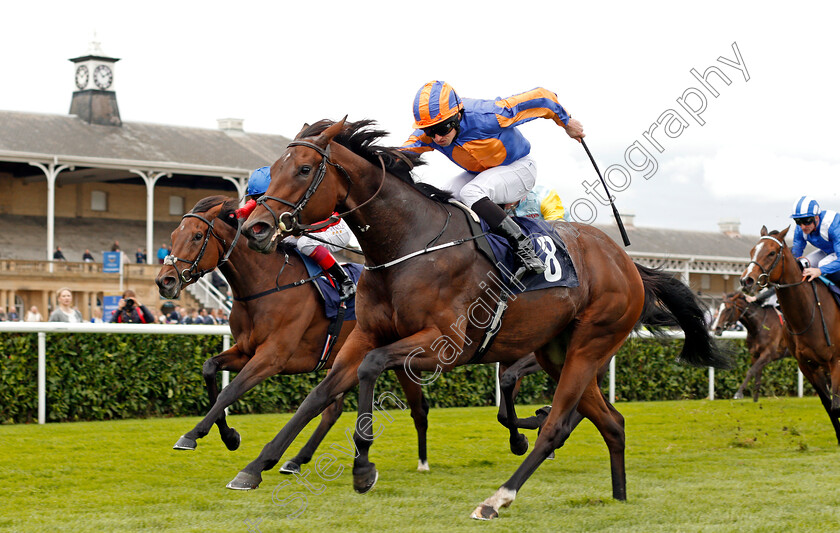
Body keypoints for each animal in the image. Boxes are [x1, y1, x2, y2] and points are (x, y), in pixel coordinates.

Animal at [236, 117, 728, 520]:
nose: (255, 227)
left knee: (557, 425)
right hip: (557, 352)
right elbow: (319, 394)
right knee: (612, 423)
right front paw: (257, 466)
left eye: (303, 170)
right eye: (273, 170)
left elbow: (371, 368)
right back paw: (618, 495)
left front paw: (362, 465)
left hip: (591, 345)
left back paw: (499, 497)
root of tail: (627, 262)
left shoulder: (445, 346)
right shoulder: (368, 333)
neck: (407, 245)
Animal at [740, 227, 840, 442]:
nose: (746, 280)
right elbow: (829, 406)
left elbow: (837, 406)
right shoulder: (808, 366)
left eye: (771, 253)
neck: (808, 314)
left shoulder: (836, 361)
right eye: (752, 250)